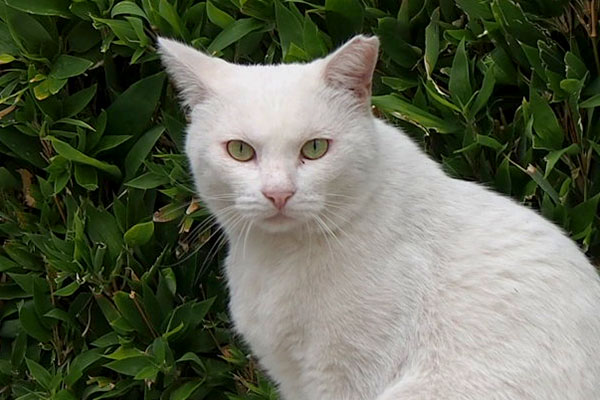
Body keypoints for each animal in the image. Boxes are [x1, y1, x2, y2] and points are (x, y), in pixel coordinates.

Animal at [158, 36, 600, 398]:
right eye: (240, 150)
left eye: (315, 148)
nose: (278, 193)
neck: (278, 258)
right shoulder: (293, 377)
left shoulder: (345, 377)